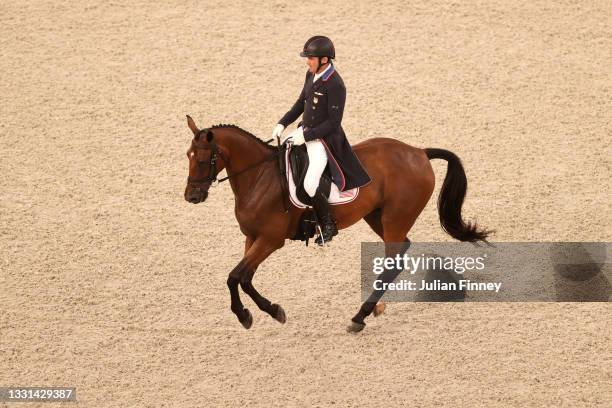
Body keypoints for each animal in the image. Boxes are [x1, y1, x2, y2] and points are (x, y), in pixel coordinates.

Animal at [184, 115, 490, 332]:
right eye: (188, 156)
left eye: (204, 159)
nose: (192, 196)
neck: (259, 178)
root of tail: (419, 152)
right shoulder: (252, 238)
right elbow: (242, 278)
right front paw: (268, 312)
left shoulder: (271, 240)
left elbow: (236, 276)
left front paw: (247, 314)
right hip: (377, 217)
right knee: (400, 251)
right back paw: (374, 309)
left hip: (394, 218)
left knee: (394, 260)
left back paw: (359, 317)